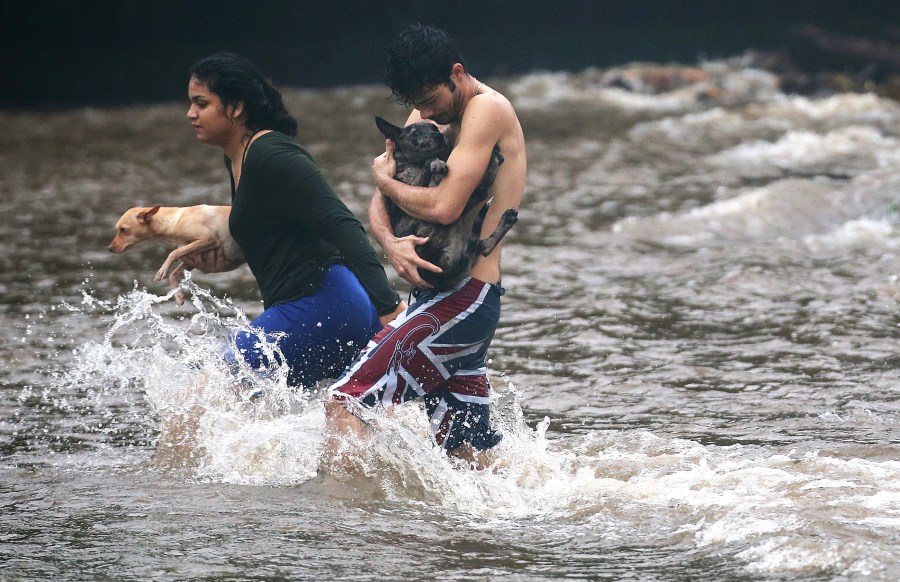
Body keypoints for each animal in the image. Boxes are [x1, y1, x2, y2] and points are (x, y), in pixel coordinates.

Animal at [107, 206, 244, 306]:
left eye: (123, 229)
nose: (109, 248)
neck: (176, 221)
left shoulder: (208, 239)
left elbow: (173, 253)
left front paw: (162, 270)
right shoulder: (191, 259)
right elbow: (173, 274)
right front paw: (178, 296)